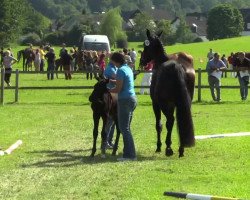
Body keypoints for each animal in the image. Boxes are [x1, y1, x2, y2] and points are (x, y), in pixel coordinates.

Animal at [141, 29, 195, 158]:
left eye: (145, 46)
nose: (142, 61)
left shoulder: (155, 104)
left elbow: (159, 125)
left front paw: (159, 146)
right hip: (185, 103)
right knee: (180, 121)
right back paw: (181, 149)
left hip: (165, 105)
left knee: (170, 121)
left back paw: (168, 148)